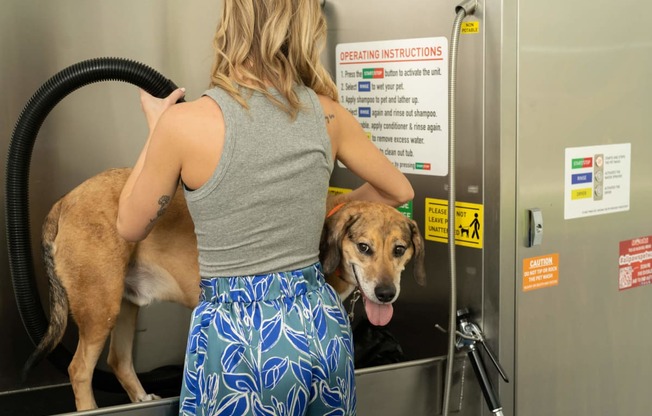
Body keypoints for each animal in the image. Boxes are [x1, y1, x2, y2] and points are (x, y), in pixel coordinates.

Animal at [25, 167, 426, 410]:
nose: (386, 293)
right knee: (80, 370)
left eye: (399, 250)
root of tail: (65, 201)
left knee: (119, 361)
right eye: (364, 247)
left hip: (123, 306)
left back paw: (141, 398)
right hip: (100, 309)